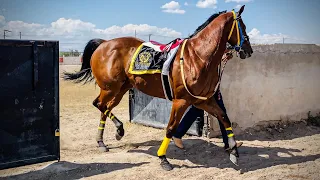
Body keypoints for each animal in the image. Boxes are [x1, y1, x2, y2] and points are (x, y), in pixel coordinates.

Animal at [62, 5, 252, 171]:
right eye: (242, 26)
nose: (248, 50)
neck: (197, 56)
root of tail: (104, 43)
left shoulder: (203, 100)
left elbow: (224, 117)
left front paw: (234, 151)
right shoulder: (181, 101)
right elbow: (170, 128)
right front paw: (163, 158)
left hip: (120, 89)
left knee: (105, 108)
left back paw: (105, 139)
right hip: (110, 88)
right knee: (99, 104)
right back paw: (117, 130)